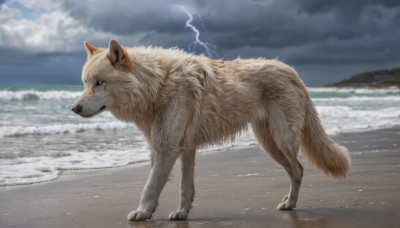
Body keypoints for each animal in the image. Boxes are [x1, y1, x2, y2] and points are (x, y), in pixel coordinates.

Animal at [72, 39, 350, 221]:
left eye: (99, 82)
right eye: (85, 83)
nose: (75, 108)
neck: (158, 84)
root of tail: (293, 72)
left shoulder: (166, 149)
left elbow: (150, 186)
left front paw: (142, 213)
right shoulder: (184, 149)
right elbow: (184, 188)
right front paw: (181, 213)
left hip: (280, 141)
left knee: (299, 170)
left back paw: (290, 204)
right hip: (269, 143)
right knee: (296, 170)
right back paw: (287, 201)